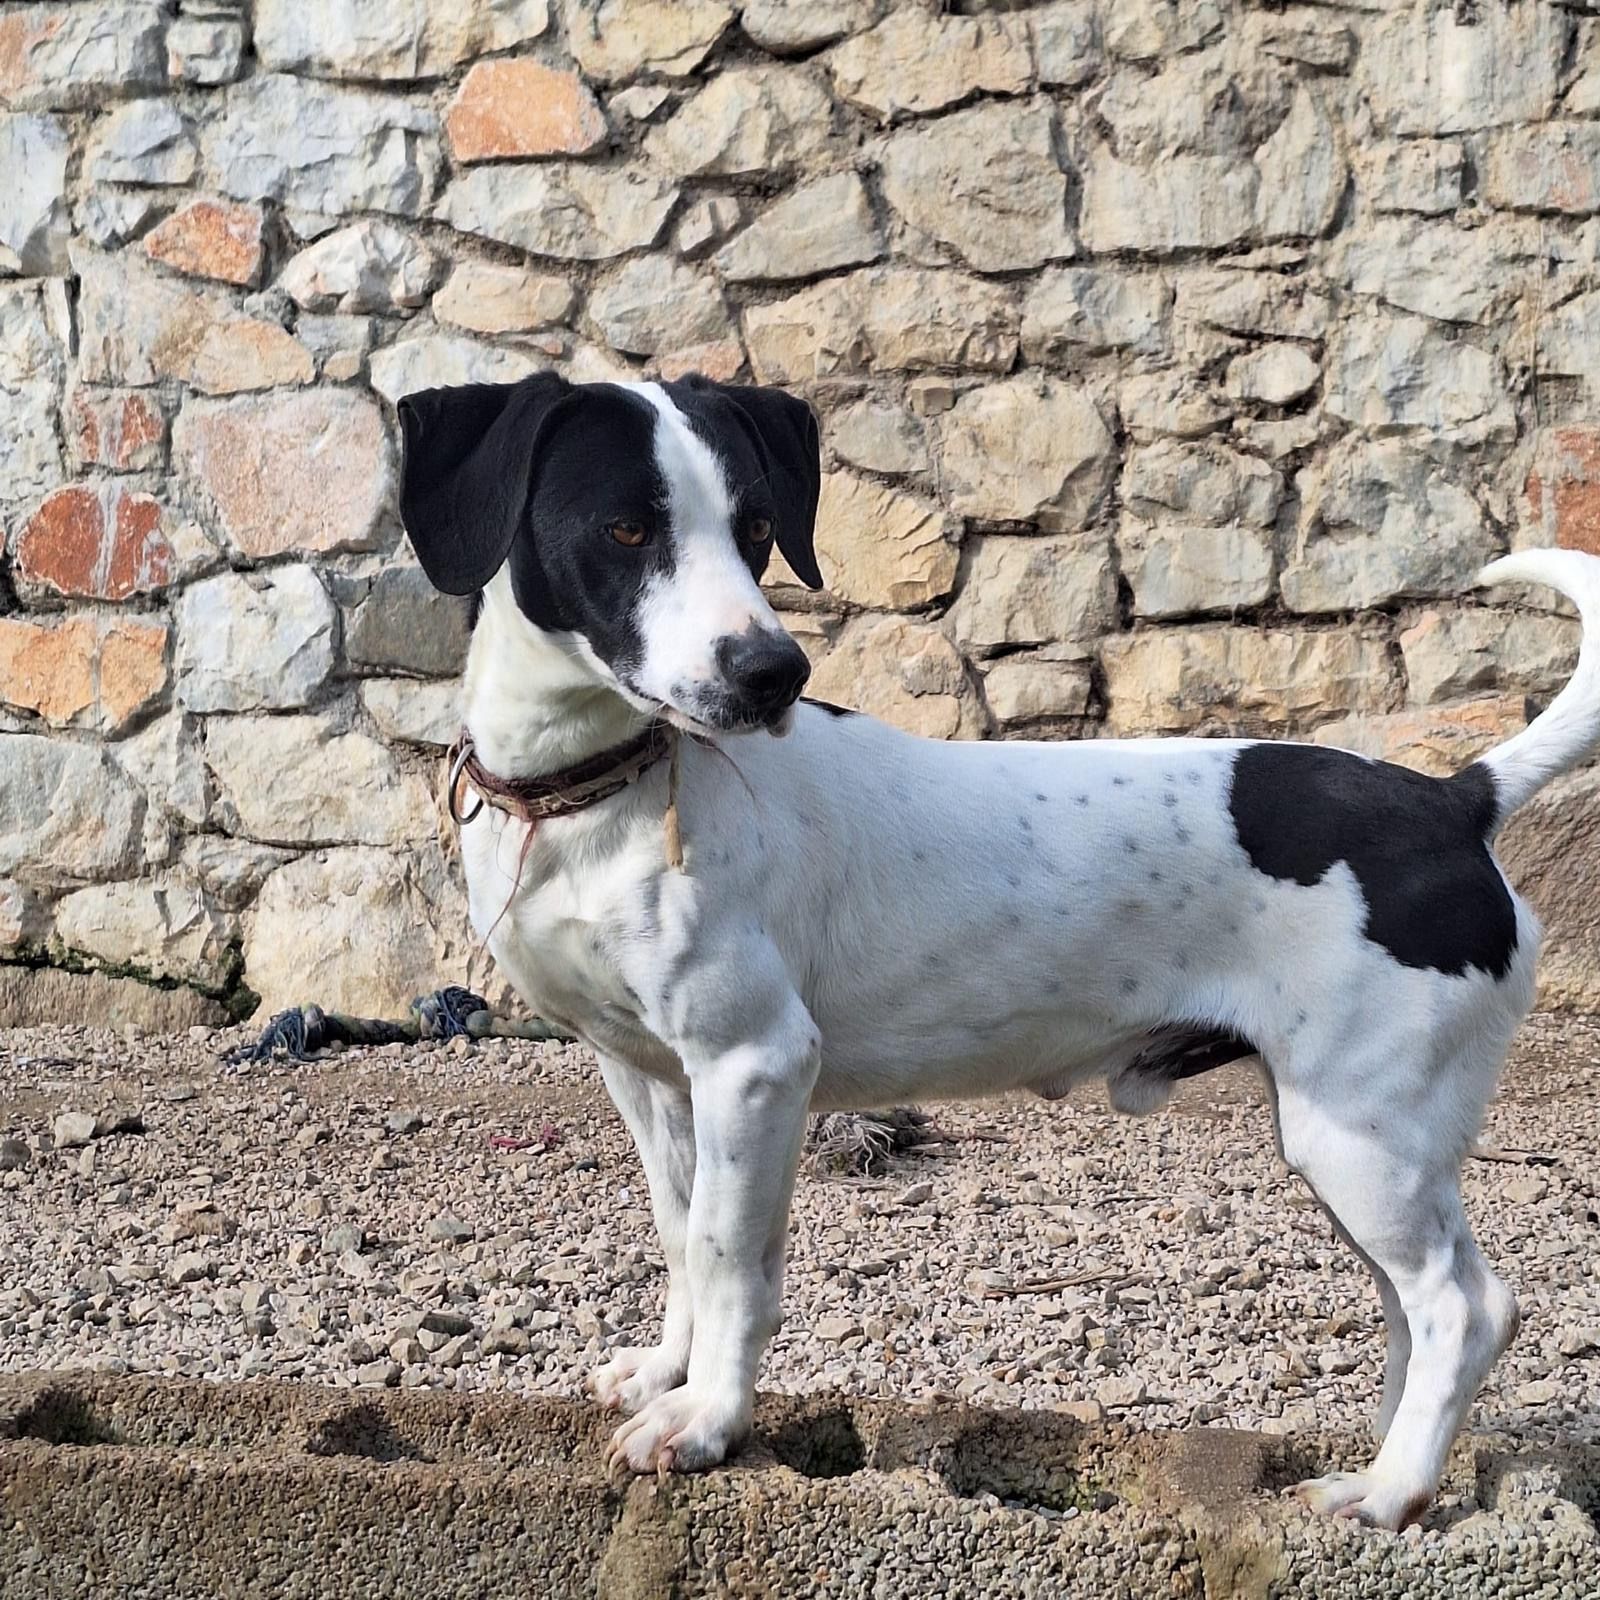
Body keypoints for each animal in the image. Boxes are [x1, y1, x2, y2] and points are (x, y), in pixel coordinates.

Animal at [396, 371, 1600, 1530]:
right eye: (626, 528)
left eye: (755, 526)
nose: (773, 674)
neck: (607, 793)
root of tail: (1450, 799)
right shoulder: (645, 1077)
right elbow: (680, 1235)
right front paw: (667, 1375)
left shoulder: (754, 1067)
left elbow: (731, 1262)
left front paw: (709, 1423)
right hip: (1364, 1147)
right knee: (1413, 1310)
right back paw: (1394, 1461)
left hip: (1358, 1136)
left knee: (1464, 1306)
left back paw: (1390, 1493)